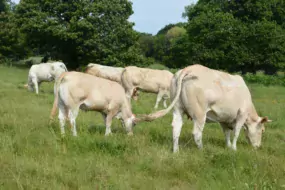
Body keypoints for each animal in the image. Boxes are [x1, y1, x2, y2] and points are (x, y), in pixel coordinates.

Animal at [136, 64, 272, 152]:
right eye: (262, 130)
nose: (258, 147)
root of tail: (189, 68)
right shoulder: (241, 114)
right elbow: (236, 132)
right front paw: (234, 148)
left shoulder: (224, 118)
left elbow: (226, 133)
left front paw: (228, 146)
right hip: (200, 113)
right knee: (196, 133)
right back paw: (201, 150)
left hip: (178, 109)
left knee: (176, 128)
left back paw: (176, 151)